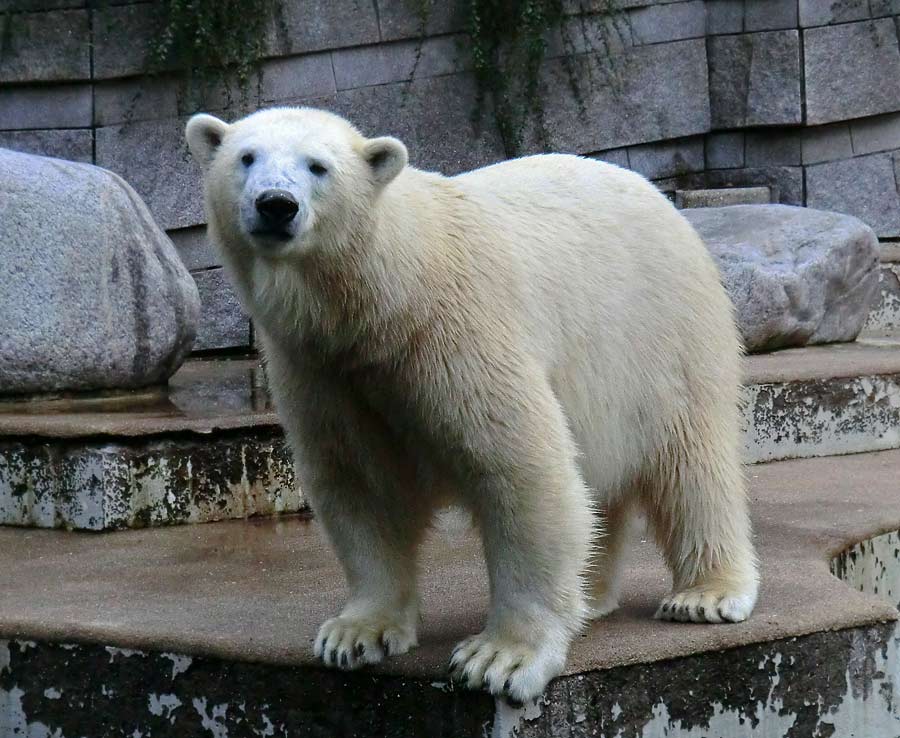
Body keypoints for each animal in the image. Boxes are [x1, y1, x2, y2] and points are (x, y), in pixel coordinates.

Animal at [185, 106, 760, 700]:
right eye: (246, 157)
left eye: (318, 166)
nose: (276, 203)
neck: (386, 298)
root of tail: (660, 198)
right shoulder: (323, 370)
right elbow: (362, 483)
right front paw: (355, 634)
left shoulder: (458, 332)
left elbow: (519, 467)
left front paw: (499, 658)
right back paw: (593, 597)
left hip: (663, 332)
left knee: (692, 460)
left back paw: (706, 595)